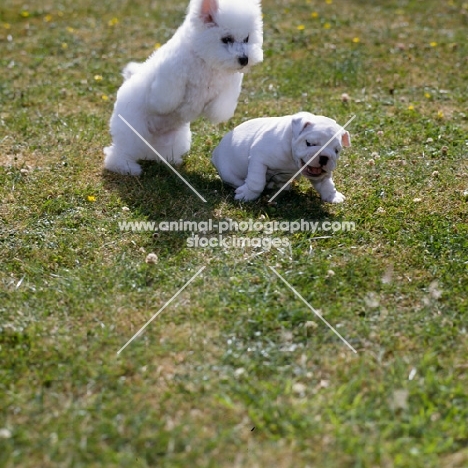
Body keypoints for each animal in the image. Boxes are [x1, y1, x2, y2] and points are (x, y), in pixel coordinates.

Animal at [103, 0, 264, 176]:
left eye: (247, 38)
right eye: (226, 39)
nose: (244, 59)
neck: (206, 61)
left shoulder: (230, 86)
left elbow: (222, 106)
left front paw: (215, 112)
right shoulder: (171, 72)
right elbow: (166, 98)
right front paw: (164, 105)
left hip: (177, 139)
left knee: (157, 152)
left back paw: (169, 160)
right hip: (133, 131)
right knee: (118, 153)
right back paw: (126, 167)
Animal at [212, 113, 352, 203]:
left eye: (336, 151)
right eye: (309, 143)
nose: (324, 157)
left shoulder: (322, 174)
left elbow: (326, 183)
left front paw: (332, 196)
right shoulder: (258, 159)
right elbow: (256, 182)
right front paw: (248, 194)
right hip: (228, 174)